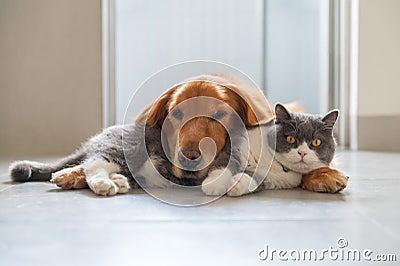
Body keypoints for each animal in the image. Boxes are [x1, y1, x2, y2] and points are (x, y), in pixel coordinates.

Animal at [202, 103, 340, 196]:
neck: (275, 163)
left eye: (316, 142)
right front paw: (213, 185)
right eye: (290, 138)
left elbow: (256, 179)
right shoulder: (239, 141)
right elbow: (226, 162)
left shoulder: (277, 179)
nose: (302, 152)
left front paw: (237, 184)